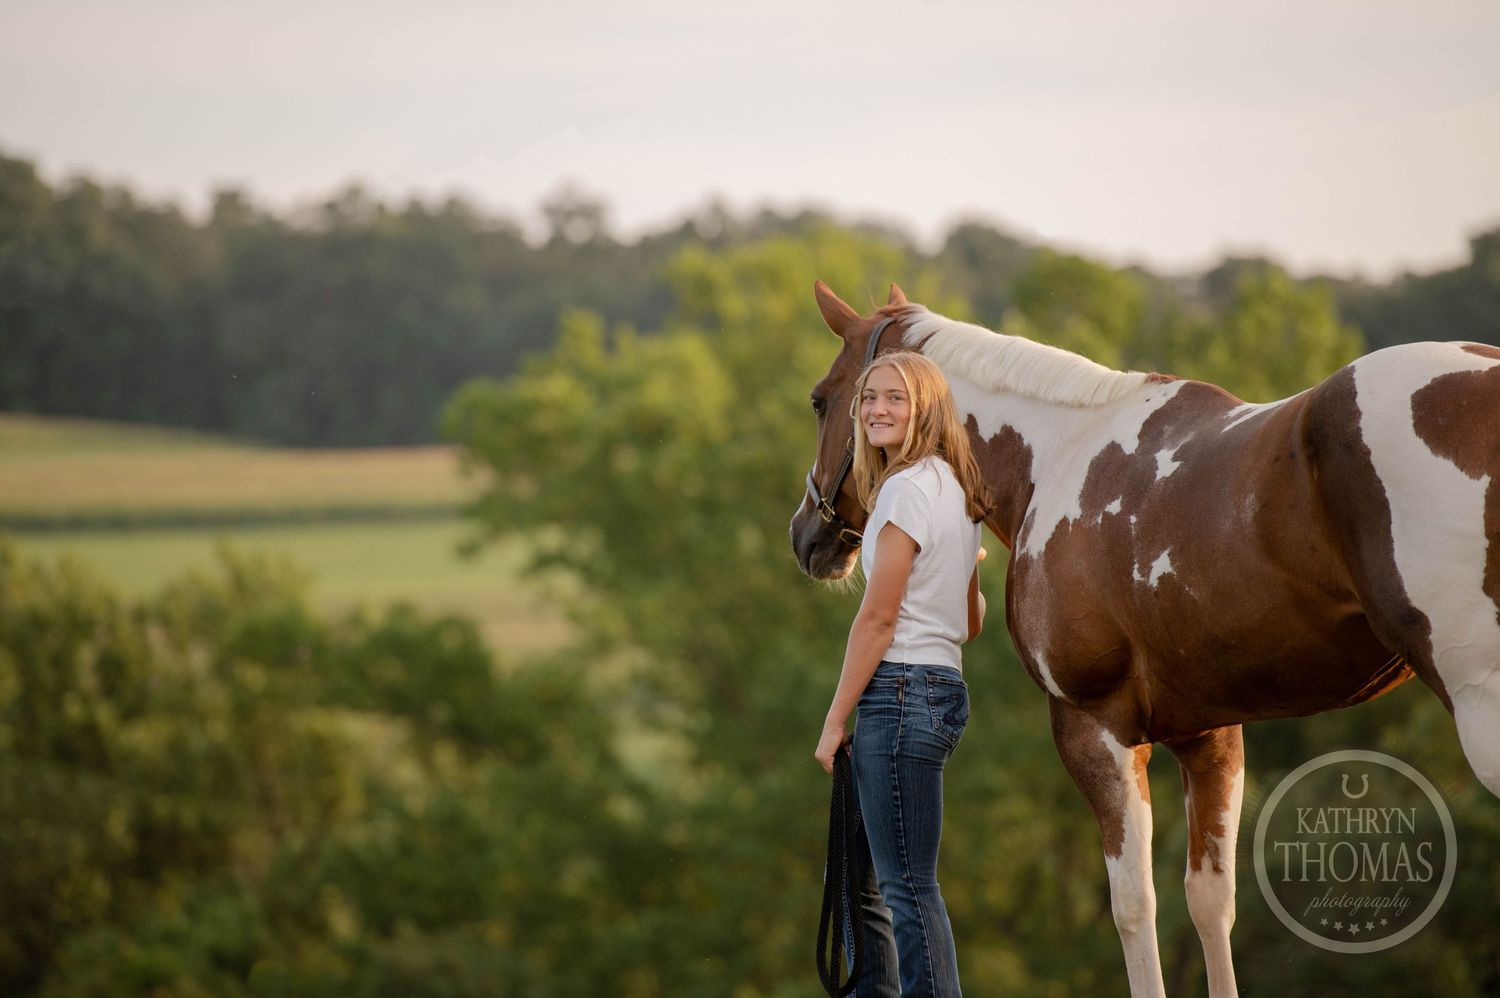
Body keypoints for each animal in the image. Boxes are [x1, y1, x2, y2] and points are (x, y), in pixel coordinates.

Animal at [788, 280, 1500, 997]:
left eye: (822, 399)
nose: (806, 537)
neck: (1057, 458)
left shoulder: (1095, 727)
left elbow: (1134, 905)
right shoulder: (1211, 735)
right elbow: (1210, 902)